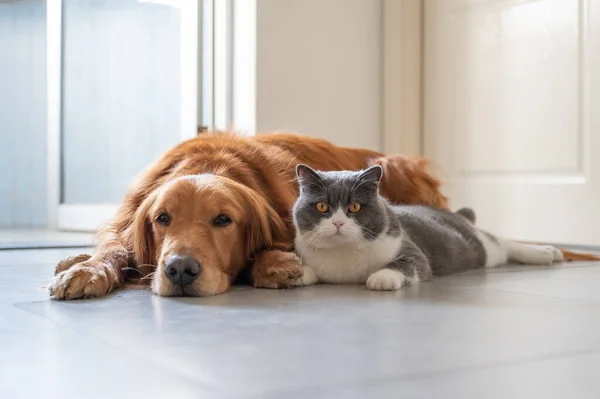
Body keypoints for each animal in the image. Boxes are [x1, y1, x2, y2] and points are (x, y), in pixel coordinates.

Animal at [290, 164, 564, 292]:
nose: (337, 222)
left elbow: (410, 264)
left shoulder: (409, 249)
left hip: (482, 249)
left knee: (501, 242)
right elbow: (307, 269)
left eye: (355, 207)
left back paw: (548, 252)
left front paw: (382, 277)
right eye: (322, 206)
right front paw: (293, 273)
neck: (343, 256)